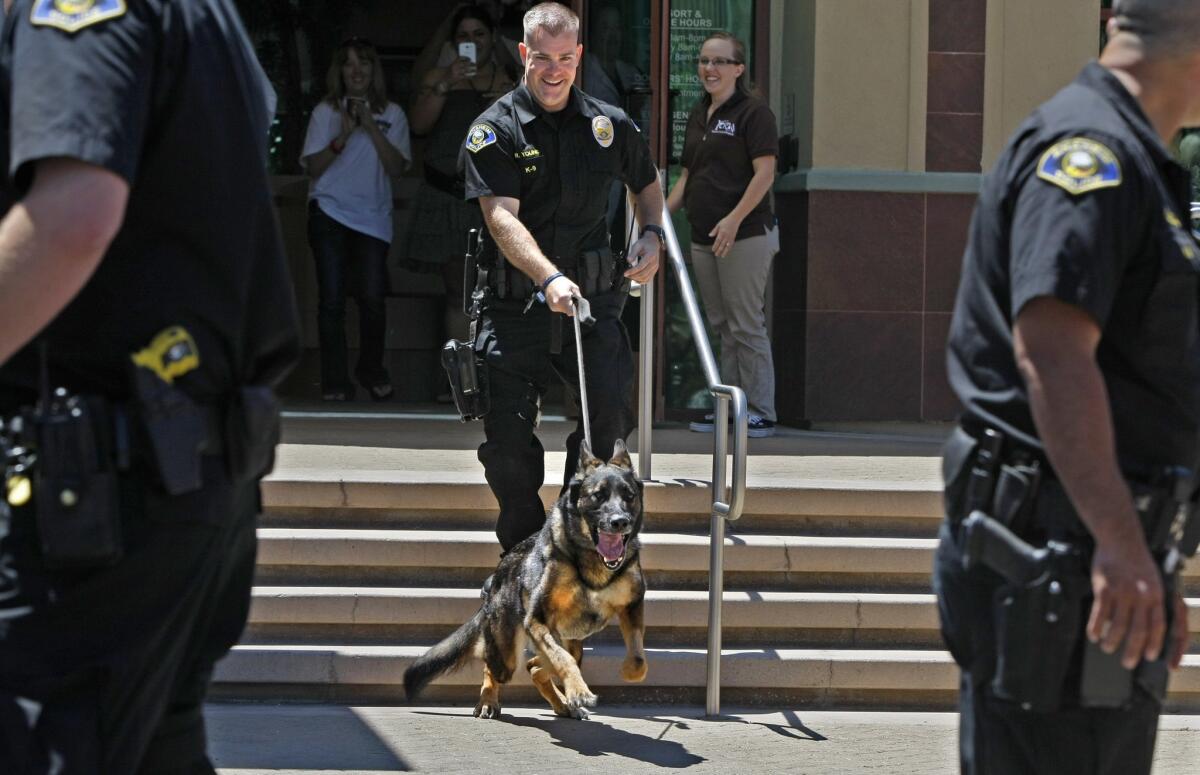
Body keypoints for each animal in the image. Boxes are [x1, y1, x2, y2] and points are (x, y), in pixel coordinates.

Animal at [403, 441, 648, 719]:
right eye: (599, 495)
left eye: (629, 495)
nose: (620, 522)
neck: (592, 561)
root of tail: (497, 576)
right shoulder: (537, 620)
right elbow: (562, 660)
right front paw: (578, 690)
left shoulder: (632, 607)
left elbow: (638, 661)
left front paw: (624, 672)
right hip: (507, 653)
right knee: (494, 665)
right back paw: (489, 700)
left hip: (567, 642)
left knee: (538, 667)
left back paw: (563, 703)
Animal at [458, 3, 667, 556]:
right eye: (541, 58)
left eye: (564, 58)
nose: (554, 76)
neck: (552, 112)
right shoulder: (484, 141)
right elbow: (506, 213)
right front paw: (556, 285)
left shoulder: (626, 131)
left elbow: (647, 181)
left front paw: (647, 252)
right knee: (509, 450)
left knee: (597, 420)